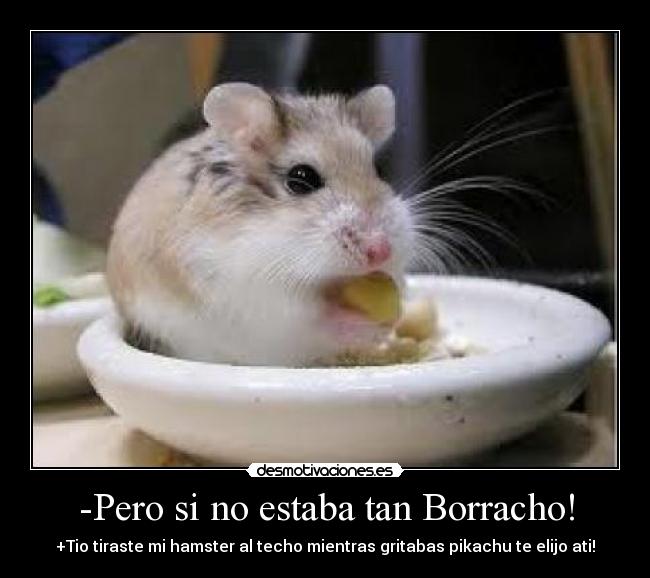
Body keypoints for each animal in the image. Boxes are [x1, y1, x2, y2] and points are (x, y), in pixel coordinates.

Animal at [107, 83, 415, 366]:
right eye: (301, 178)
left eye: (377, 170)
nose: (381, 251)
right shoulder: (253, 287)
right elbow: (313, 316)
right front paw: (370, 325)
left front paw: (394, 318)